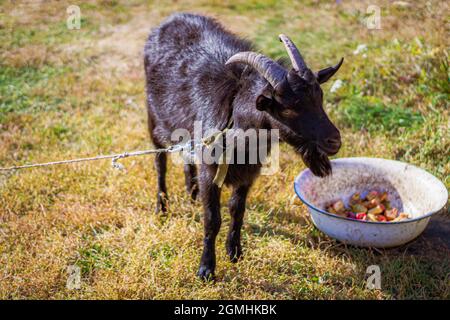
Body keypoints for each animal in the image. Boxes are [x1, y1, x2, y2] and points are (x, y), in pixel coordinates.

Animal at [146, 12, 342, 278]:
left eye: (319, 98)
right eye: (288, 109)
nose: (334, 140)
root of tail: (171, 19)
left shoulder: (249, 172)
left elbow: (237, 210)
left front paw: (235, 252)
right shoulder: (210, 171)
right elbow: (212, 218)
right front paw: (206, 268)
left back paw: (191, 192)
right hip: (154, 120)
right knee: (160, 163)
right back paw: (162, 207)